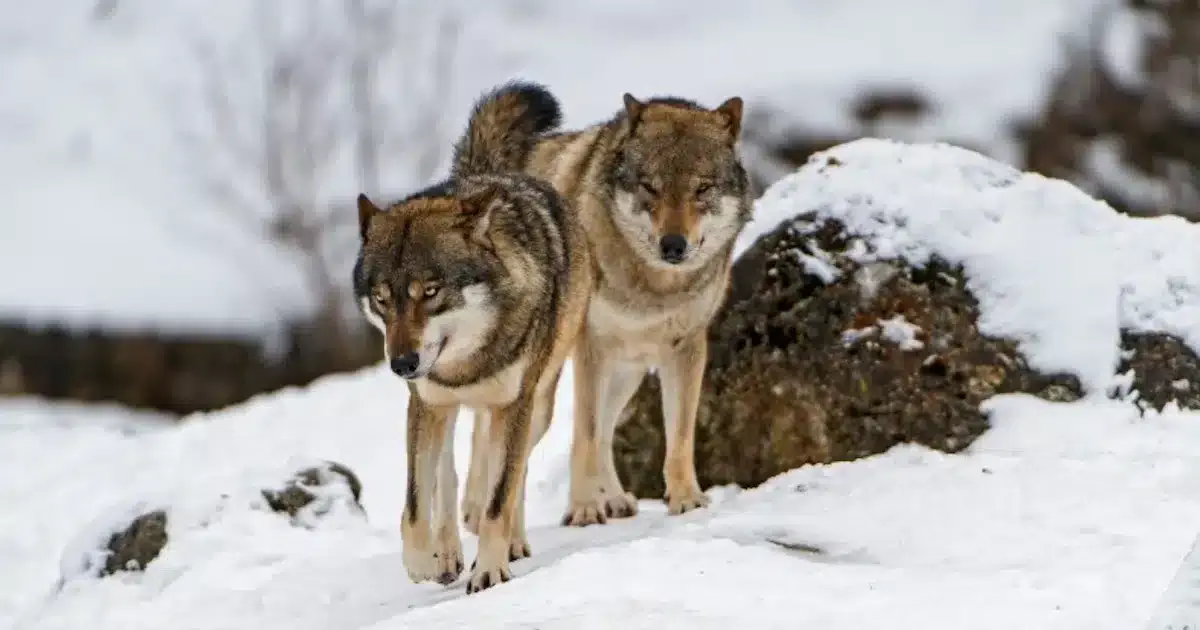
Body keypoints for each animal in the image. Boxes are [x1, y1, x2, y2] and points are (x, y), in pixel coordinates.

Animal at [352, 81, 592, 592]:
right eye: (382, 298)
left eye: (431, 291)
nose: (401, 364)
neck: (467, 364)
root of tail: (485, 173)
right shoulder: (427, 404)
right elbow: (415, 505)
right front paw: (423, 562)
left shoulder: (514, 406)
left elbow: (501, 495)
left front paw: (490, 569)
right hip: (439, 412)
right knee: (450, 477)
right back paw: (447, 551)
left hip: (537, 406)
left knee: (509, 475)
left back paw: (510, 541)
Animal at [458, 89, 748, 525]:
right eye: (650, 187)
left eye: (702, 189)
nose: (673, 245)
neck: (652, 288)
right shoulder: (590, 347)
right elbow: (586, 435)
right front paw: (583, 508)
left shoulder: (688, 348)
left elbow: (678, 434)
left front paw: (686, 498)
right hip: (544, 388)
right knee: (490, 435)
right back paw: (476, 512)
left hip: (628, 371)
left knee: (607, 430)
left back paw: (613, 498)